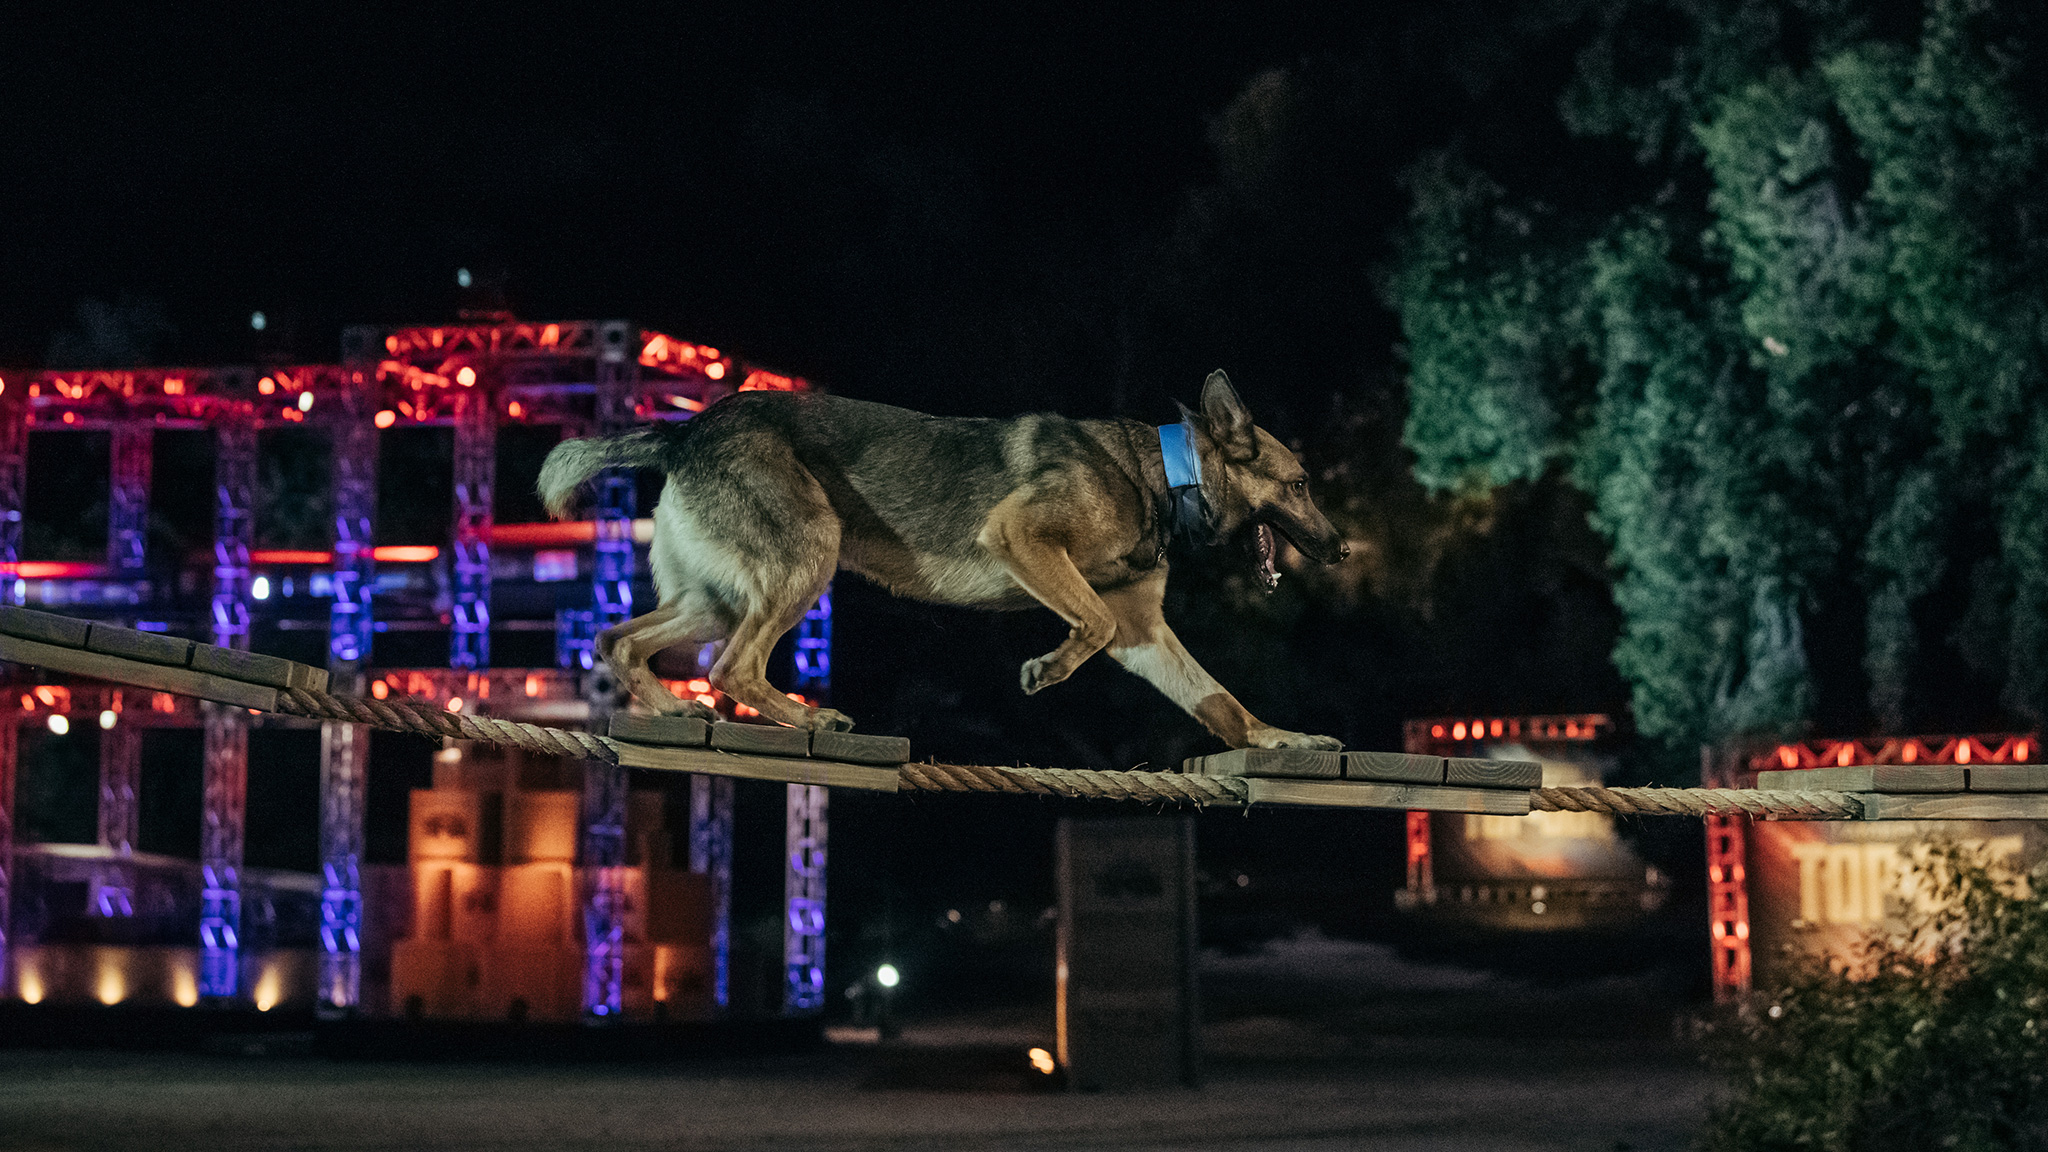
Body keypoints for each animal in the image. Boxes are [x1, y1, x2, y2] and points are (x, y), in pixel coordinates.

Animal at [536, 366, 1351, 746]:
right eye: (1302, 484)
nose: (1343, 548)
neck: (1164, 475)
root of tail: (686, 430)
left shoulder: (1147, 634)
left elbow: (1220, 698)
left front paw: (1278, 738)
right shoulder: (1022, 538)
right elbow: (1090, 625)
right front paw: (1047, 668)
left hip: (716, 599)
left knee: (618, 639)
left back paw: (670, 704)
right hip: (808, 556)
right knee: (732, 667)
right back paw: (804, 717)